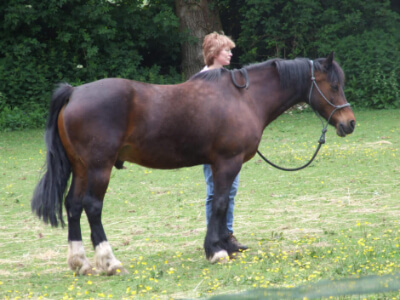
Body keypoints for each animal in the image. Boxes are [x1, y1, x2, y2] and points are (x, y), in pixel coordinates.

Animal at [31, 52, 356, 274]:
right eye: (334, 85)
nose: (349, 123)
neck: (245, 98)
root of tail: (74, 92)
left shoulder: (217, 164)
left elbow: (219, 203)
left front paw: (225, 245)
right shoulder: (227, 162)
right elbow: (221, 202)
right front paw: (216, 251)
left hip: (81, 168)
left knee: (73, 205)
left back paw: (80, 262)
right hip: (99, 168)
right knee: (92, 207)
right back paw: (109, 261)